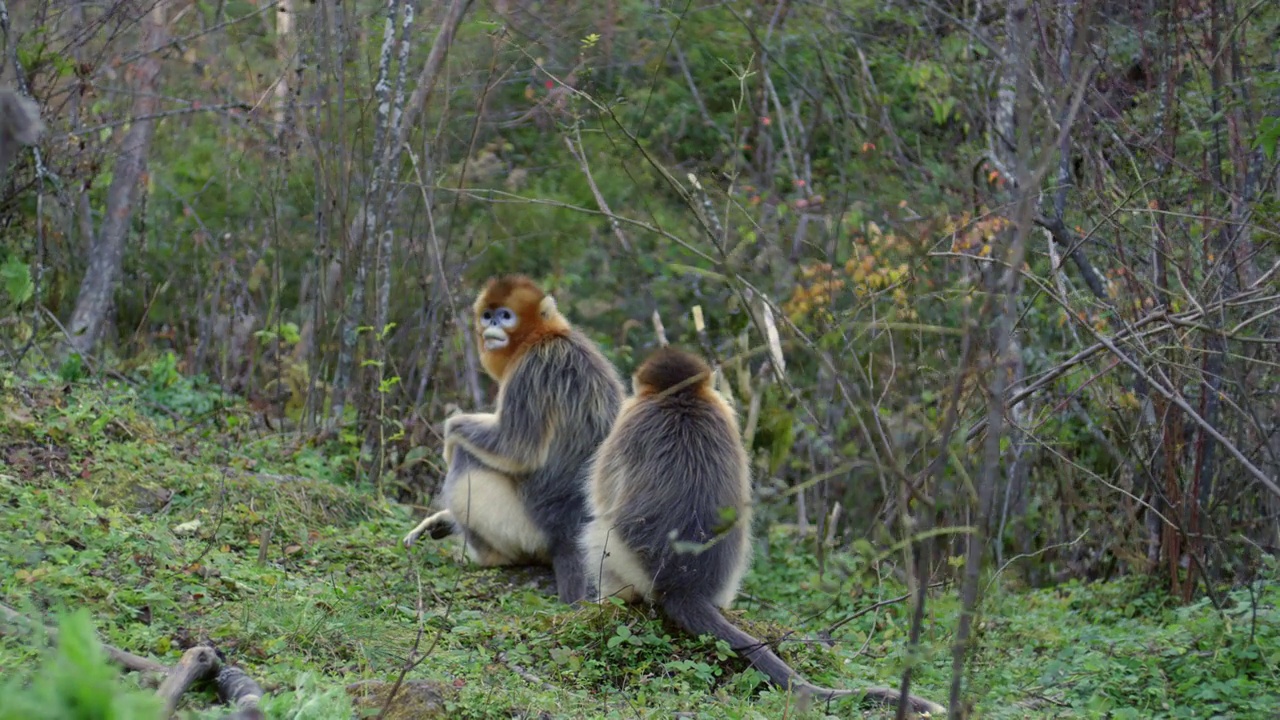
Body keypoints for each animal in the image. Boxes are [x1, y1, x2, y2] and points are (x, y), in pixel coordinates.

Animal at [396, 271, 622, 602]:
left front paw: (451, 431)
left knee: (467, 458)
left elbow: (516, 450)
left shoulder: (531, 370)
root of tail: (568, 534)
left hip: (527, 531)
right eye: (487, 315)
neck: (543, 336)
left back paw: (488, 556)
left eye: (505, 316)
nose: (491, 325)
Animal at [578, 345, 942, 712]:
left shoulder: (629, 419)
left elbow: (601, 494)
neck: (684, 397)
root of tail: (684, 587)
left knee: (595, 531)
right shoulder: (725, 410)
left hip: (623, 560)